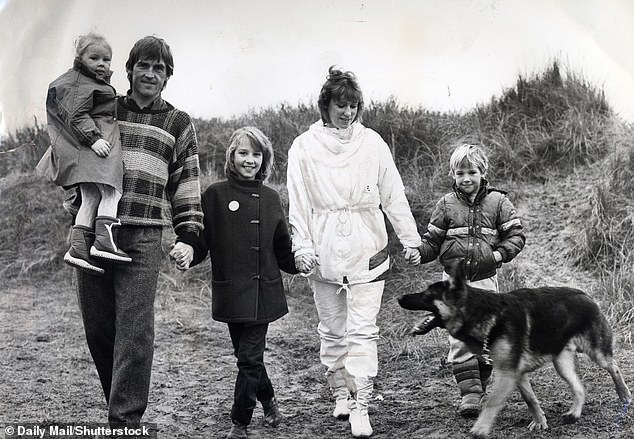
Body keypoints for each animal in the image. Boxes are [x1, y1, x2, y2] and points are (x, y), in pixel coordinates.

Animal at [398, 262, 628, 438]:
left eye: (426, 295)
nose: (399, 298)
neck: (480, 313)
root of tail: (585, 294)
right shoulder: (516, 373)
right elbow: (530, 399)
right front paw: (540, 421)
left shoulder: (507, 373)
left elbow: (492, 402)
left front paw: (480, 429)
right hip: (561, 363)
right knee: (580, 387)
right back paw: (573, 413)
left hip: (597, 353)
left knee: (614, 367)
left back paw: (624, 395)